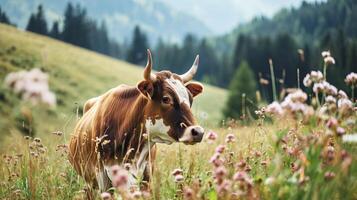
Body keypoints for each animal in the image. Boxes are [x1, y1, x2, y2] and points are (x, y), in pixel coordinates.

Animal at [68, 49, 204, 196]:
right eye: (166, 99)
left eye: (190, 99)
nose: (198, 132)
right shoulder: (102, 177)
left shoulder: (146, 177)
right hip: (89, 182)